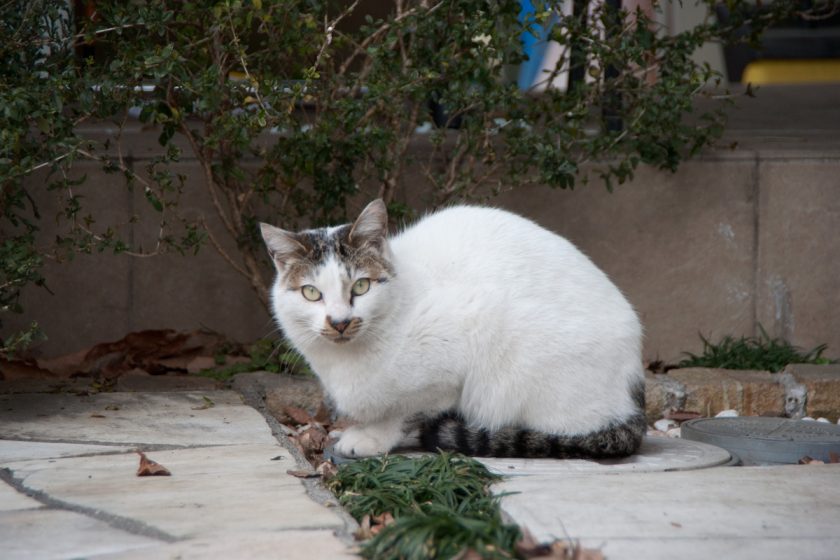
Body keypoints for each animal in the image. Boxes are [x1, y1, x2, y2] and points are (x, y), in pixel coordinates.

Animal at [260, 199, 648, 458]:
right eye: (311, 293)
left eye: (361, 286)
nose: (339, 322)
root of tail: (635, 393)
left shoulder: (459, 348)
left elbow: (406, 411)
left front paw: (372, 437)